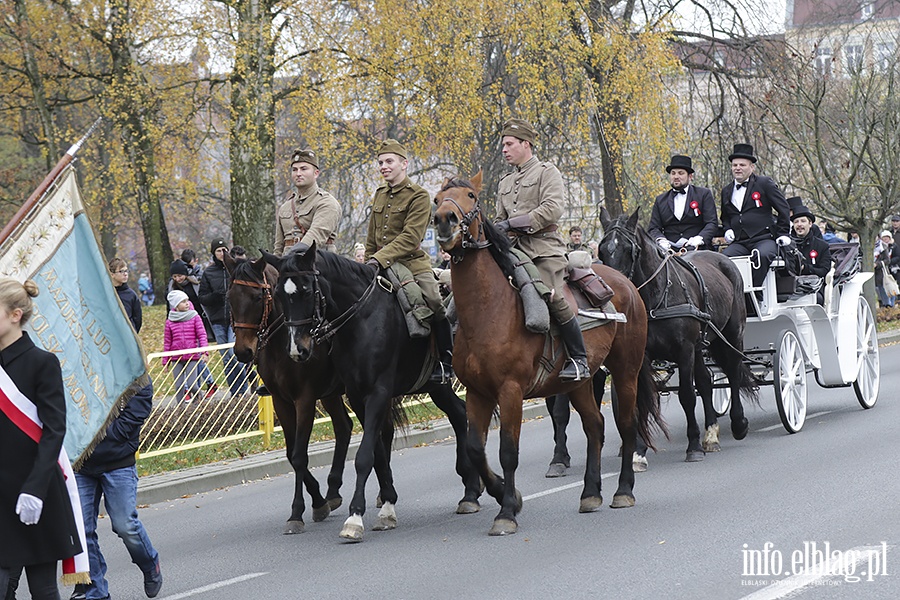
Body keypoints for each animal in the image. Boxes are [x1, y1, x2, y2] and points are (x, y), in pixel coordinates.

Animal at [223, 253, 354, 536]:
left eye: (257, 297)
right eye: (229, 297)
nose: (242, 352)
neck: (280, 346)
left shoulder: (304, 400)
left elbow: (298, 455)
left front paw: (299, 512)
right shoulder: (281, 401)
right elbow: (291, 454)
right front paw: (318, 501)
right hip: (330, 394)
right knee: (344, 427)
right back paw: (333, 490)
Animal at [264, 246, 482, 540]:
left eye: (307, 290)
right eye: (277, 294)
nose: (297, 349)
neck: (360, 320)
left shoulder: (378, 393)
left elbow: (364, 456)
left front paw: (355, 517)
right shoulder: (358, 397)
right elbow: (377, 453)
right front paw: (387, 506)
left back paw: (471, 488)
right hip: (435, 387)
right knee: (459, 415)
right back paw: (470, 488)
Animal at [432, 172, 664, 536]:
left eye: (471, 196)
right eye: (437, 198)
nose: (445, 220)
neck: (488, 310)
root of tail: (626, 283)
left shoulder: (510, 392)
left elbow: (508, 451)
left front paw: (507, 511)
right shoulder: (477, 393)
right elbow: (474, 448)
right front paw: (503, 493)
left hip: (626, 371)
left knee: (627, 425)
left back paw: (623, 490)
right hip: (581, 382)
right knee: (595, 426)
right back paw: (590, 493)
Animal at [596, 212, 760, 464]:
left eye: (629, 249)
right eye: (602, 251)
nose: (614, 293)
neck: (655, 299)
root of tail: (723, 258)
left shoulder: (684, 350)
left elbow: (686, 396)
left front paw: (693, 446)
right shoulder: (643, 356)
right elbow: (639, 400)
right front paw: (638, 452)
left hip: (731, 335)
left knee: (733, 373)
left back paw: (738, 424)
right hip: (701, 345)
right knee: (705, 381)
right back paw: (711, 434)